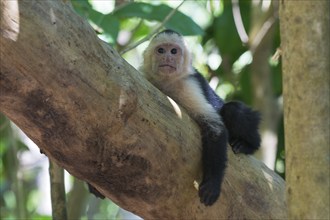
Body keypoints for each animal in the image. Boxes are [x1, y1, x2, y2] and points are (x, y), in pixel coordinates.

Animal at [139, 29, 260, 206]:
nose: (167, 58)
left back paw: (247, 145)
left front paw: (212, 184)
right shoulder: (147, 79)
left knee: (233, 110)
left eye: (174, 51)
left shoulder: (188, 84)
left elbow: (215, 128)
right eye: (161, 50)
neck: (167, 83)